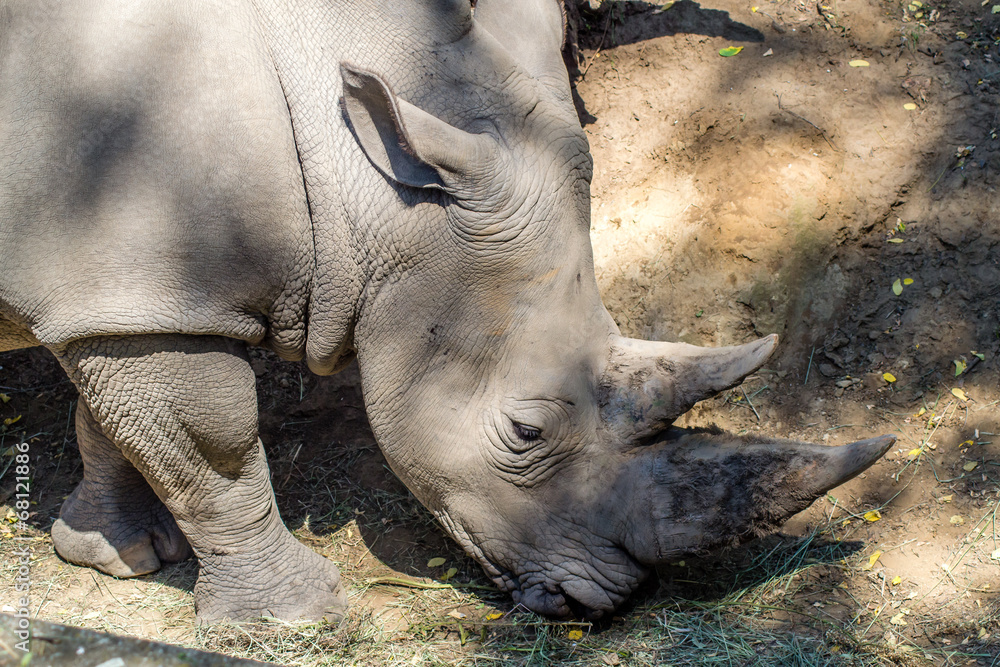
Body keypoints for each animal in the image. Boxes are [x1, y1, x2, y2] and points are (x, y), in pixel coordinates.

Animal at [0, 0, 893, 622]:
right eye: (526, 431)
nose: (607, 603)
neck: (363, 171)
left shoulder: (131, 286)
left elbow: (114, 419)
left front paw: (117, 556)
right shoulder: (139, 291)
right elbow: (212, 453)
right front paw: (295, 617)